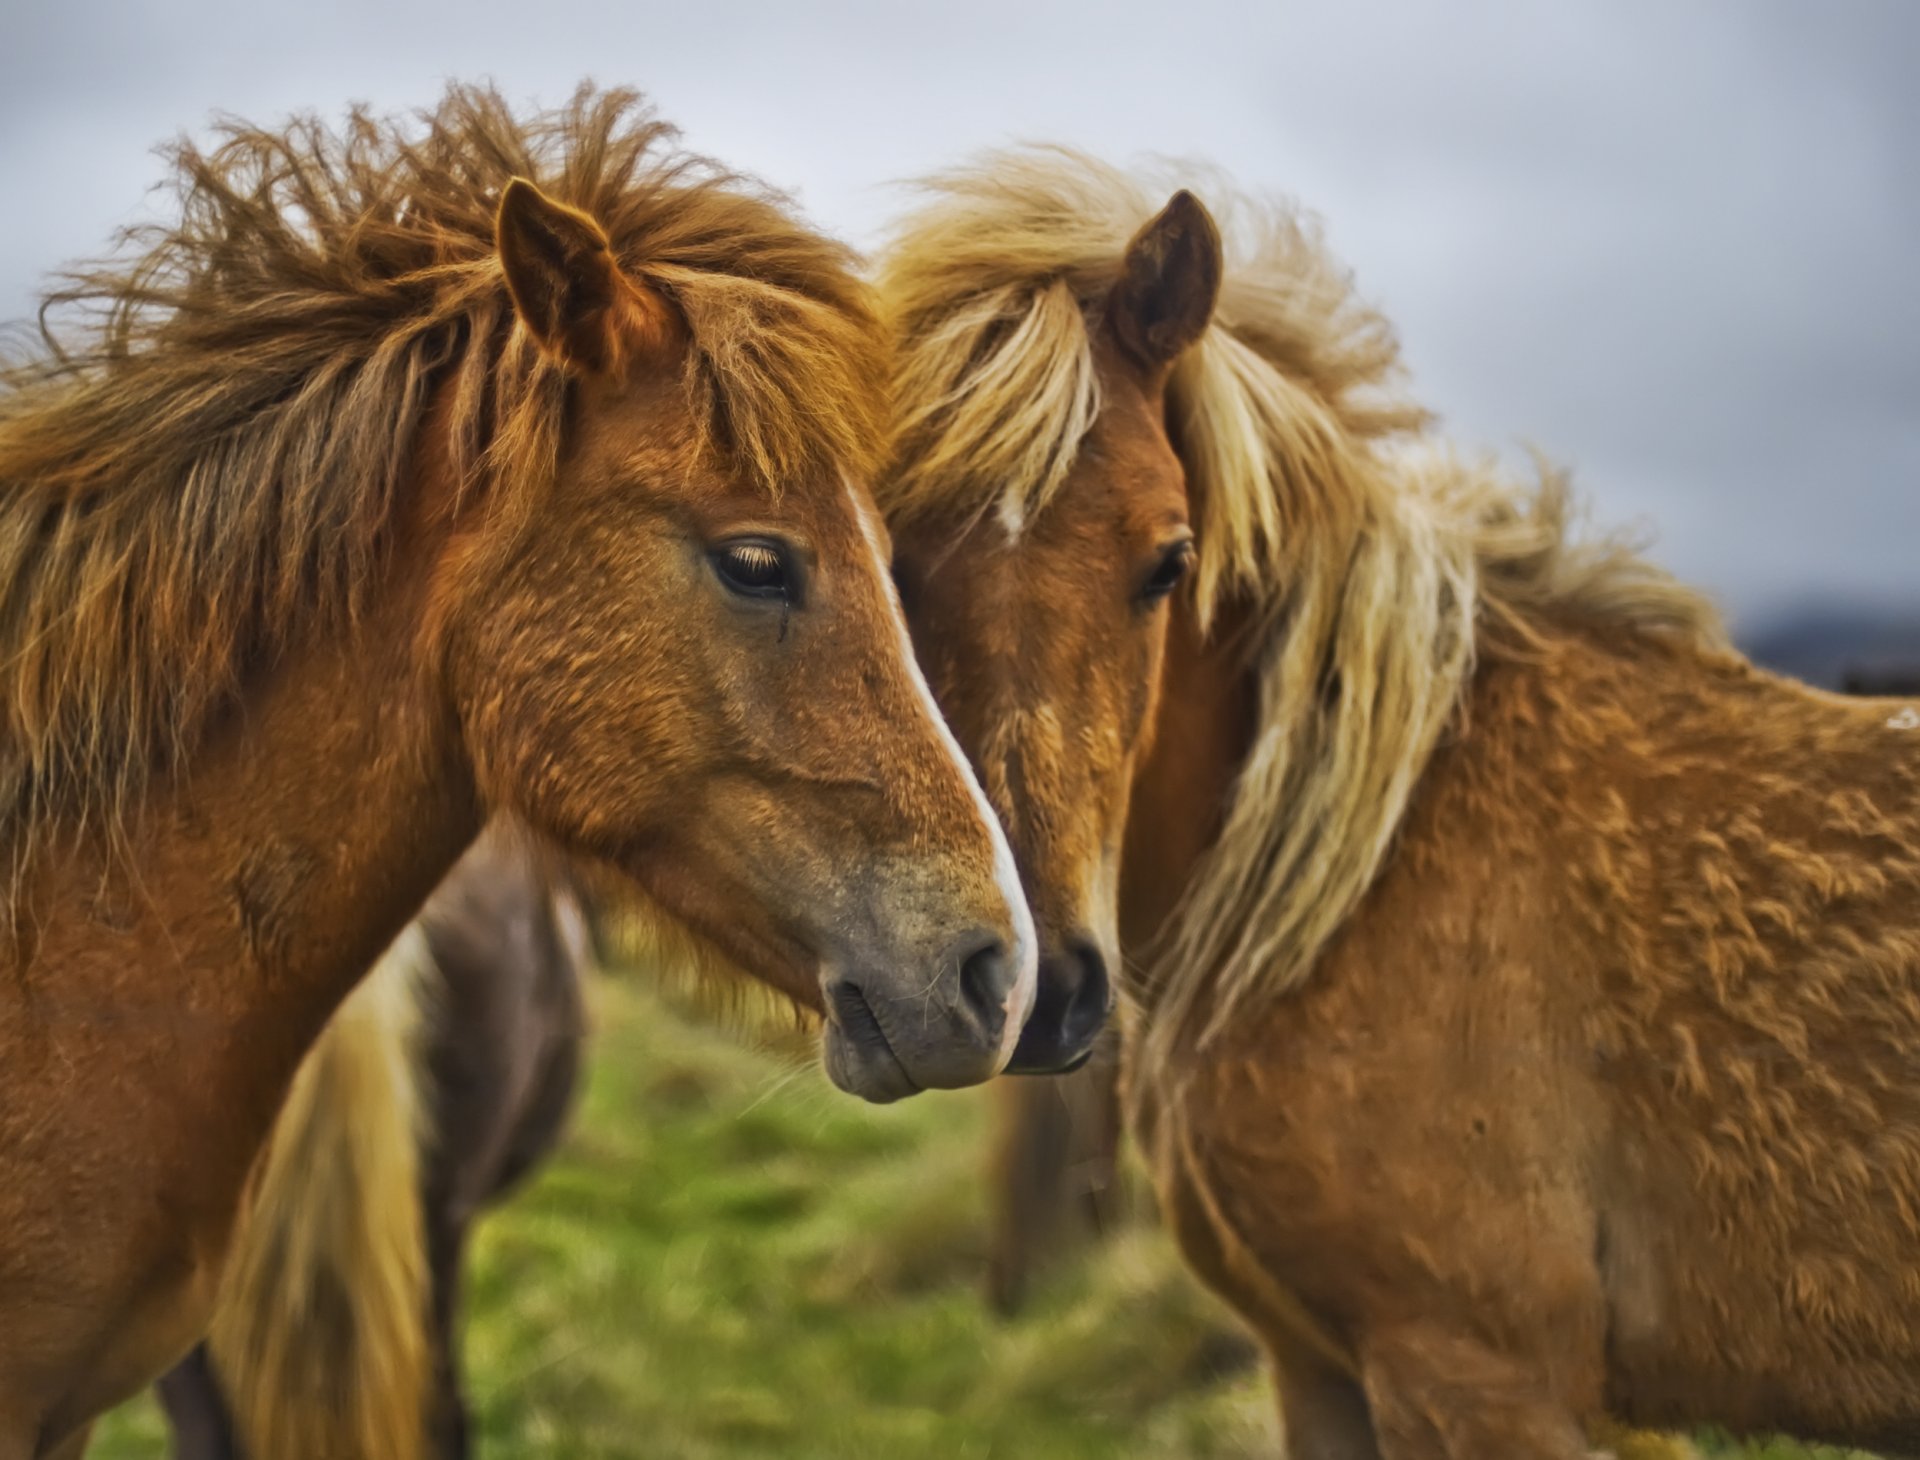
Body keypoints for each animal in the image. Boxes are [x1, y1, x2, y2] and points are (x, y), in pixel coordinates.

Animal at [879, 150, 1920, 1460]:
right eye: (887, 563)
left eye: (1169, 560)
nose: (1034, 990)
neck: (1356, 873)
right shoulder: (1316, 1366)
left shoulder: (1476, 1374)